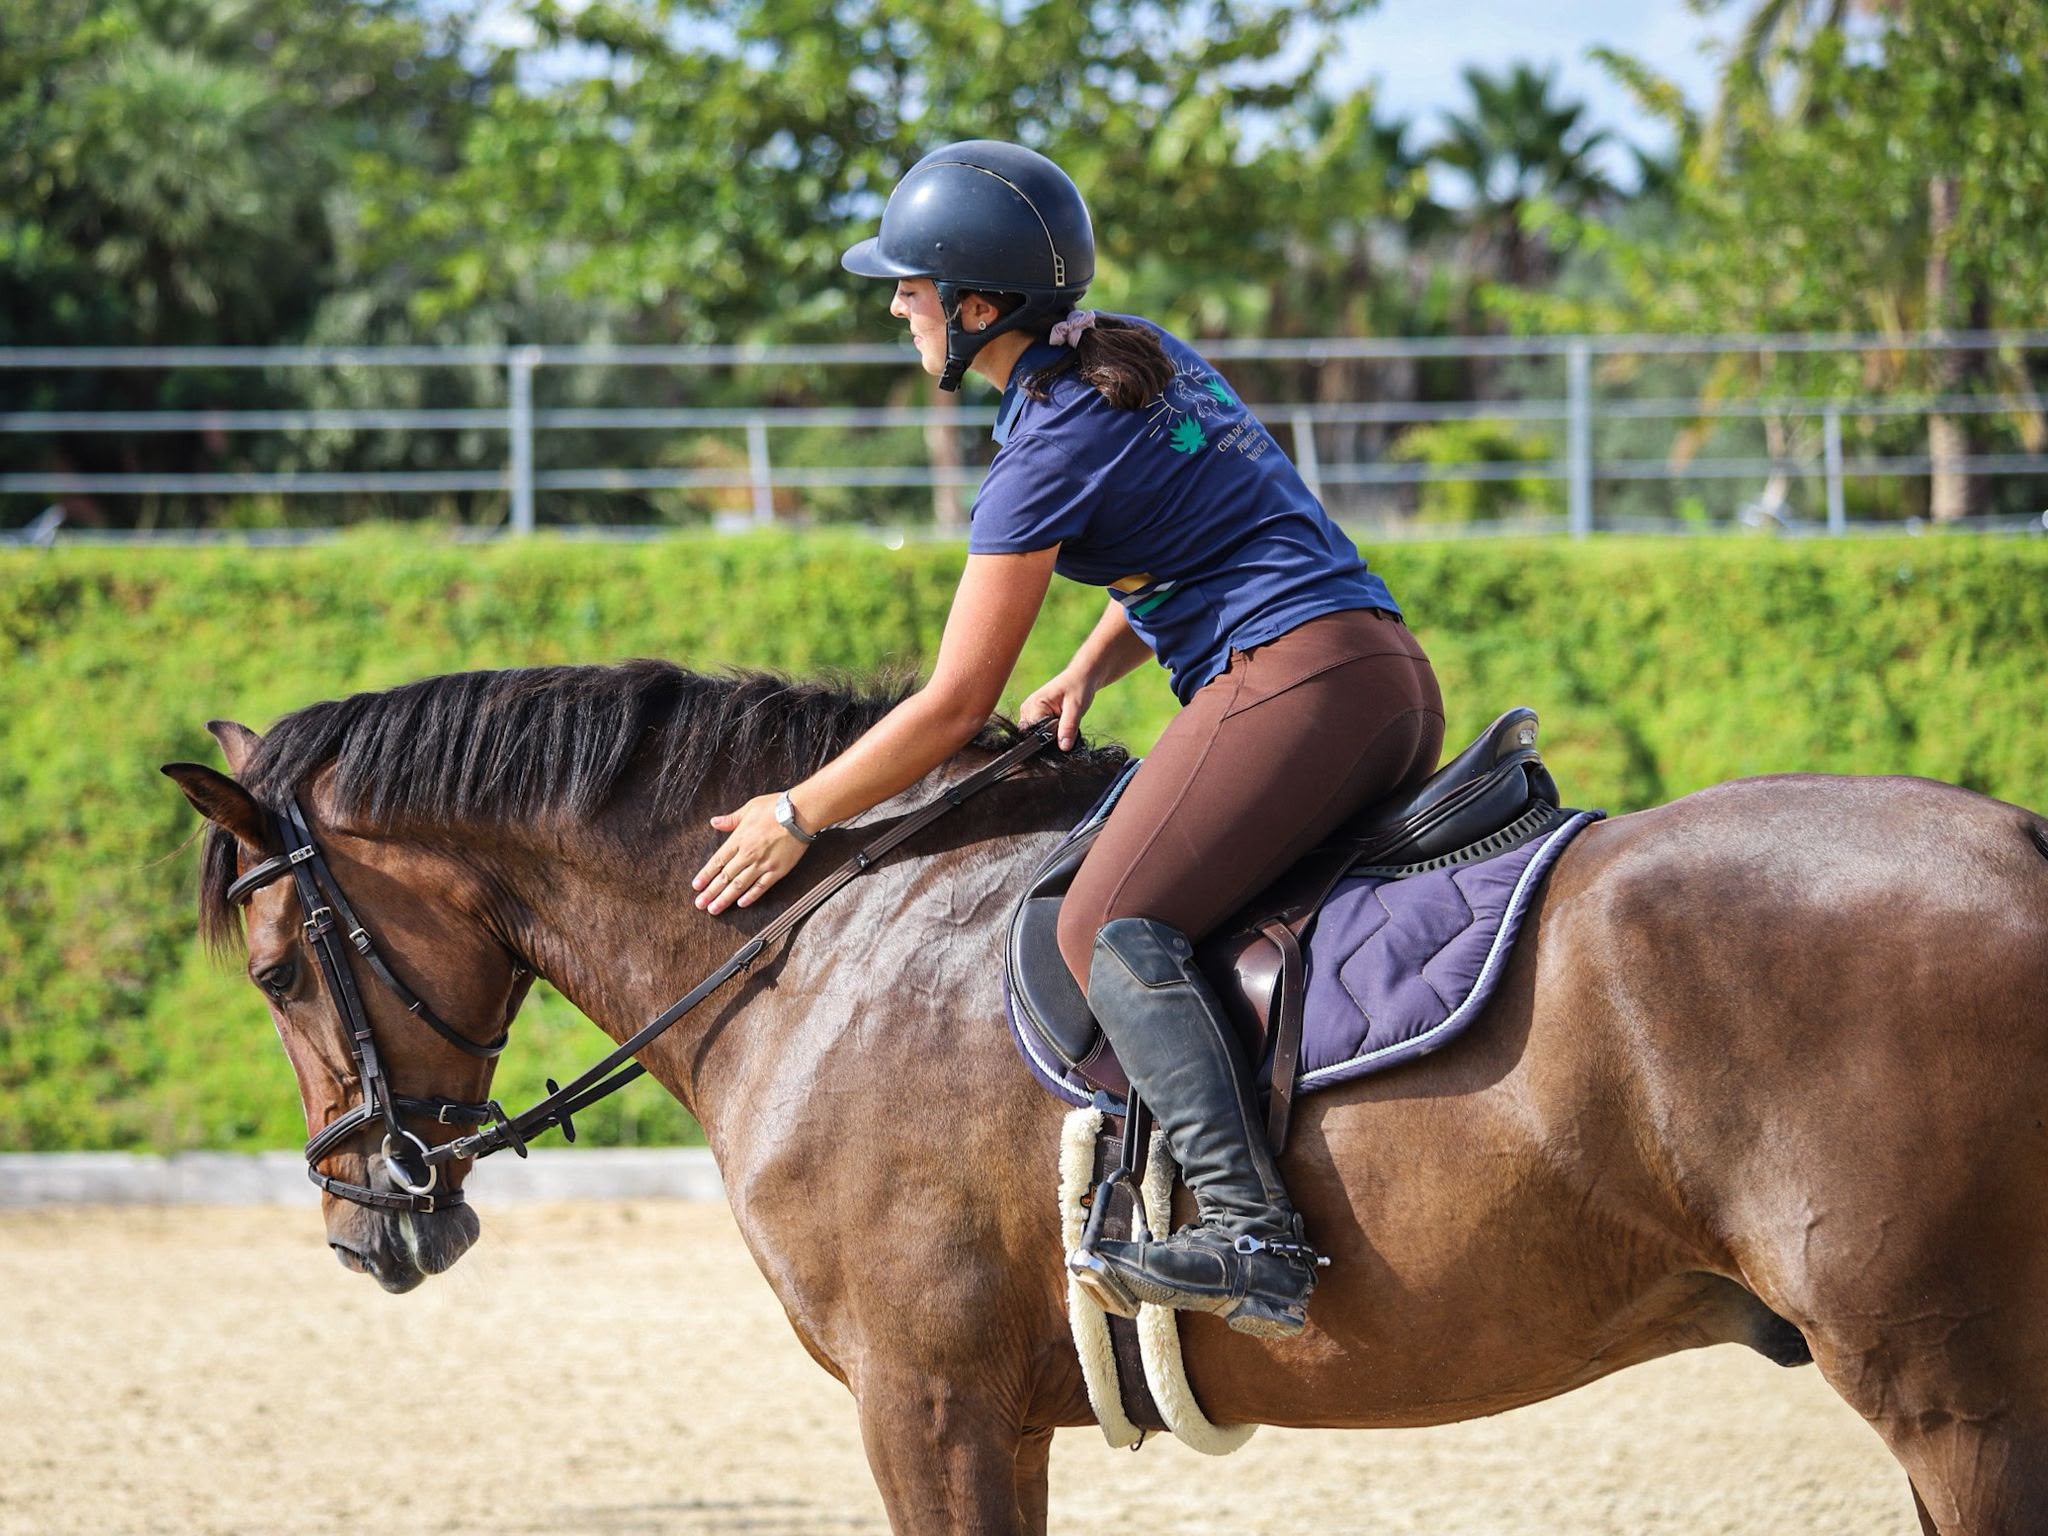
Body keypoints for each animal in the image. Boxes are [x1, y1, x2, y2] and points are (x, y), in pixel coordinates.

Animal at [162, 659, 2048, 1536]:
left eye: (274, 971)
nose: (368, 1222)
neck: (812, 939)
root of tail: (2015, 844)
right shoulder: (987, 1417)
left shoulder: (925, 1408)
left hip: (1952, 1394)